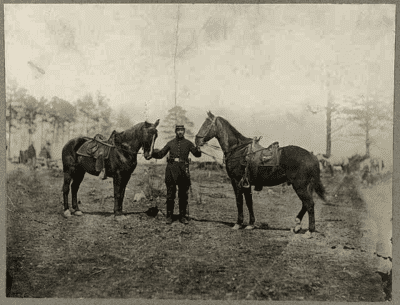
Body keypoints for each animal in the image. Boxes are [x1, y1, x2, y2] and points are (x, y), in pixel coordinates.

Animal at [195, 113, 326, 234]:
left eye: (207, 124)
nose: (197, 140)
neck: (238, 150)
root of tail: (312, 156)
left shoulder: (236, 181)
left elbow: (239, 201)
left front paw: (238, 223)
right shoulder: (246, 184)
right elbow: (249, 202)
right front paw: (251, 224)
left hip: (300, 186)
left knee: (309, 204)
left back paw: (309, 231)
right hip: (305, 186)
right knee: (305, 204)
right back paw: (297, 225)